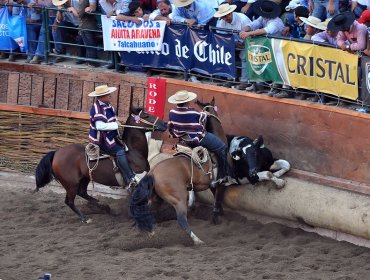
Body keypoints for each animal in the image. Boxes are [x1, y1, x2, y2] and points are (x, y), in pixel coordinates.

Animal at [34, 107, 168, 223]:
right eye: (146, 115)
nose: (164, 124)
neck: (133, 152)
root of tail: (56, 153)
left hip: (84, 178)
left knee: (82, 193)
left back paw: (101, 206)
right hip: (71, 184)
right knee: (70, 201)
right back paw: (85, 218)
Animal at [129, 97, 228, 244]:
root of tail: (153, 173)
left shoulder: (211, 184)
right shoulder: (220, 183)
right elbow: (217, 199)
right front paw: (216, 218)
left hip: (156, 199)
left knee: (145, 212)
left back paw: (146, 233)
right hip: (178, 199)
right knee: (181, 220)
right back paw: (197, 240)